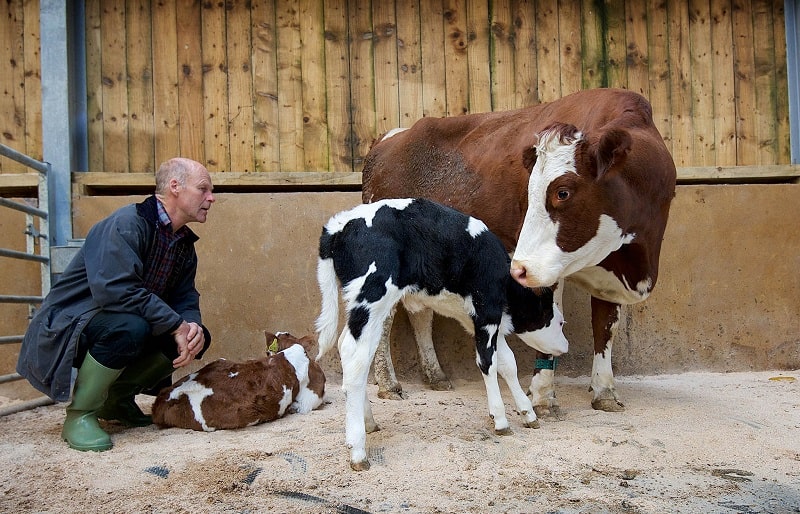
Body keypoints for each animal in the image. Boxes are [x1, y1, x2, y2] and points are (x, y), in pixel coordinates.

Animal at [314, 198, 568, 470]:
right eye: (560, 322)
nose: (566, 346)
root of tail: (339, 225)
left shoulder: (479, 319)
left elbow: (507, 363)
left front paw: (527, 412)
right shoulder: (487, 310)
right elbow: (487, 362)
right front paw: (501, 419)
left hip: (364, 308)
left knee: (349, 349)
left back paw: (369, 422)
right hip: (372, 296)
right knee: (356, 356)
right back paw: (358, 450)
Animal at [364, 88, 676, 412]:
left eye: (562, 192)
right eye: (529, 192)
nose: (516, 269)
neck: (634, 262)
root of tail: (390, 137)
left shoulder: (609, 270)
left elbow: (605, 327)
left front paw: (604, 391)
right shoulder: (544, 268)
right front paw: (542, 397)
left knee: (421, 312)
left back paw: (435, 375)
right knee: (384, 318)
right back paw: (389, 383)